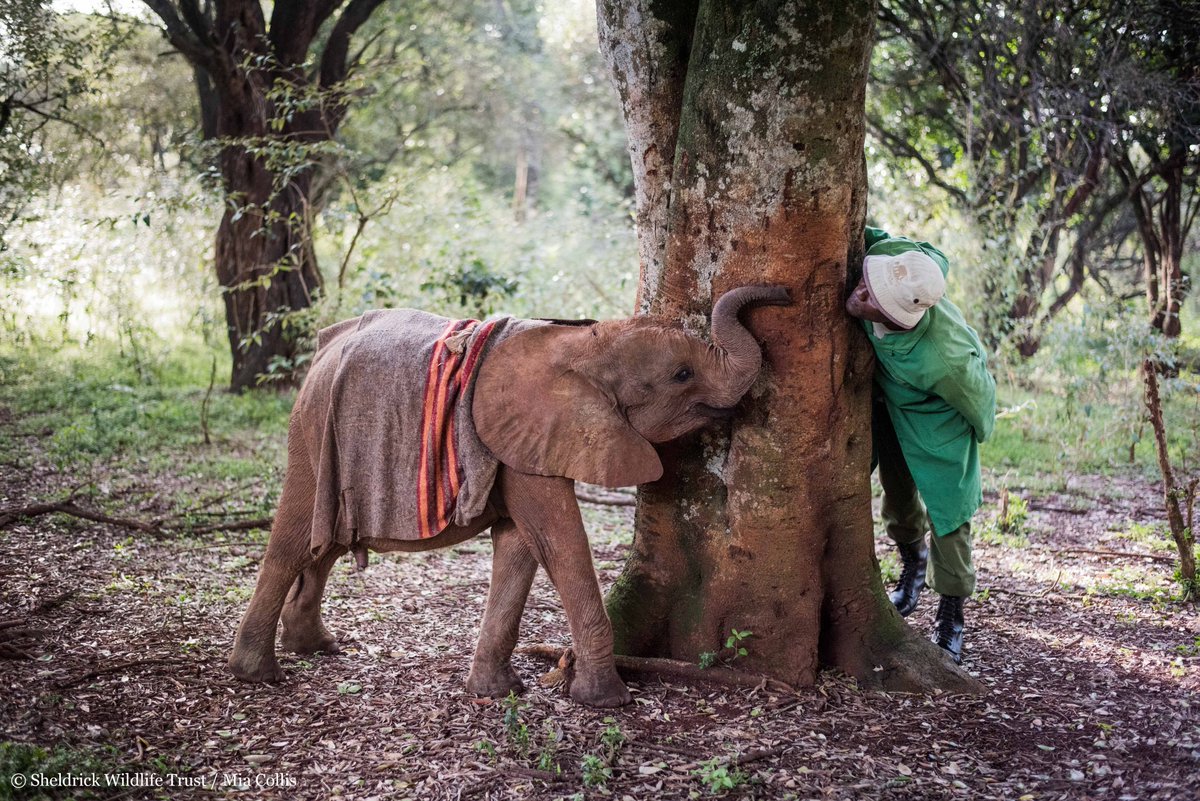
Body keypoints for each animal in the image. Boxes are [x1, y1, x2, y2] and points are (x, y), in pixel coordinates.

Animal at [226, 284, 787, 705]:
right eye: (681, 375)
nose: (783, 293)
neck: (585, 345)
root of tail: (323, 348)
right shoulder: (525, 437)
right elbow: (558, 540)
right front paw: (607, 701)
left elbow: (520, 545)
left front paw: (497, 693)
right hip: (311, 429)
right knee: (293, 540)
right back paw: (257, 674)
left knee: (327, 539)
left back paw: (317, 647)